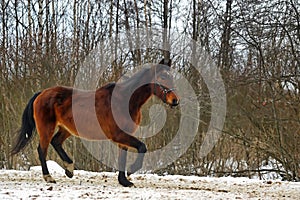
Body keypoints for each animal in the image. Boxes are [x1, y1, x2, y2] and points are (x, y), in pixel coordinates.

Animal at [11, 58, 180, 187]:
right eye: (162, 77)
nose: (175, 100)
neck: (125, 101)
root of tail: (41, 94)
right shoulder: (118, 135)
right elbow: (142, 147)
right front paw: (131, 171)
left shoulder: (123, 137)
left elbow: (123, 157)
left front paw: (124, 181)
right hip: (46, 128)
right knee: (42, 150)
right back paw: (49, 177)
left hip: (67, 128)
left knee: (56, 142)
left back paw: (69, 168)